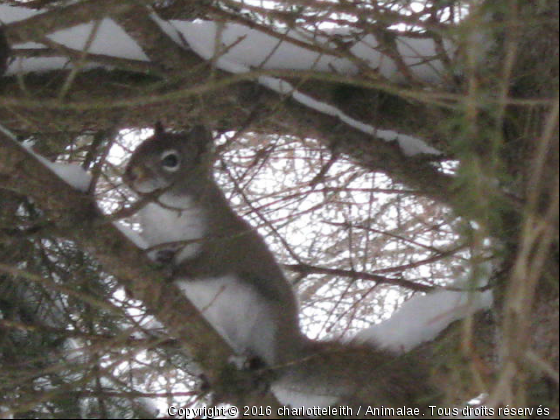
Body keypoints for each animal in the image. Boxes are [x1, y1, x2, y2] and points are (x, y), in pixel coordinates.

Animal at [123, 123, 438, 412]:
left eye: (171, 160)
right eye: (140, 145)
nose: (131, 174)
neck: (164, 213)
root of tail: (292, 349)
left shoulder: (222, 243)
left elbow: (206, 265)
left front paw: (174, 271)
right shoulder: (153, 237)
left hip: (267, 326)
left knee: (275, 367)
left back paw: (263, 371)